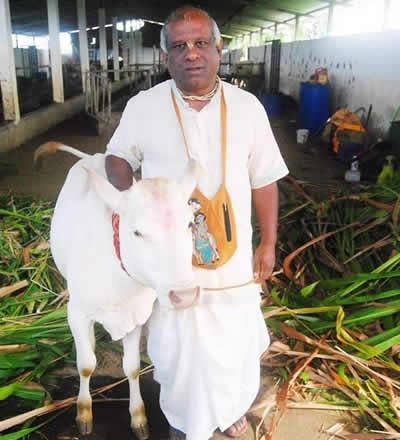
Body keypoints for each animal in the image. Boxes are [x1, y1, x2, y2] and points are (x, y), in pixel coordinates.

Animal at [35, 143, 199, 438]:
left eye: (190, 224)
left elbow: (132, 368)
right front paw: (84, 412)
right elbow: (86, 364)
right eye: (137, 232)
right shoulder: (77, 313)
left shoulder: (137, 316)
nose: (185, 295)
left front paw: (139, 418)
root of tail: (93, 157)